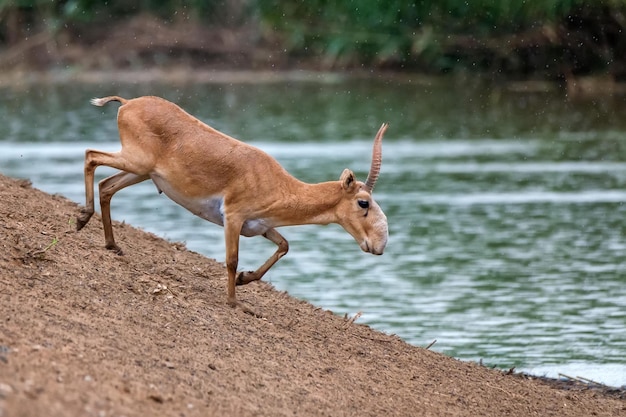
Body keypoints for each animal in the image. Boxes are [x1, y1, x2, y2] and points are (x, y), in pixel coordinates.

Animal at [76, 96, 388, 308]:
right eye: (363, 203)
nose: (379, 245)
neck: (278, 183)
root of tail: (128, 103)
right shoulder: (233, 217)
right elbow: (231, 259)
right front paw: (234, 302)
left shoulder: (260, 226)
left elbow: (284, 245)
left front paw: (244, 279)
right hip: (136, 163)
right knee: (91, 156)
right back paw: (82, 217)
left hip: (141, 172)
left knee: (106, 186)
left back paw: (112, 244)